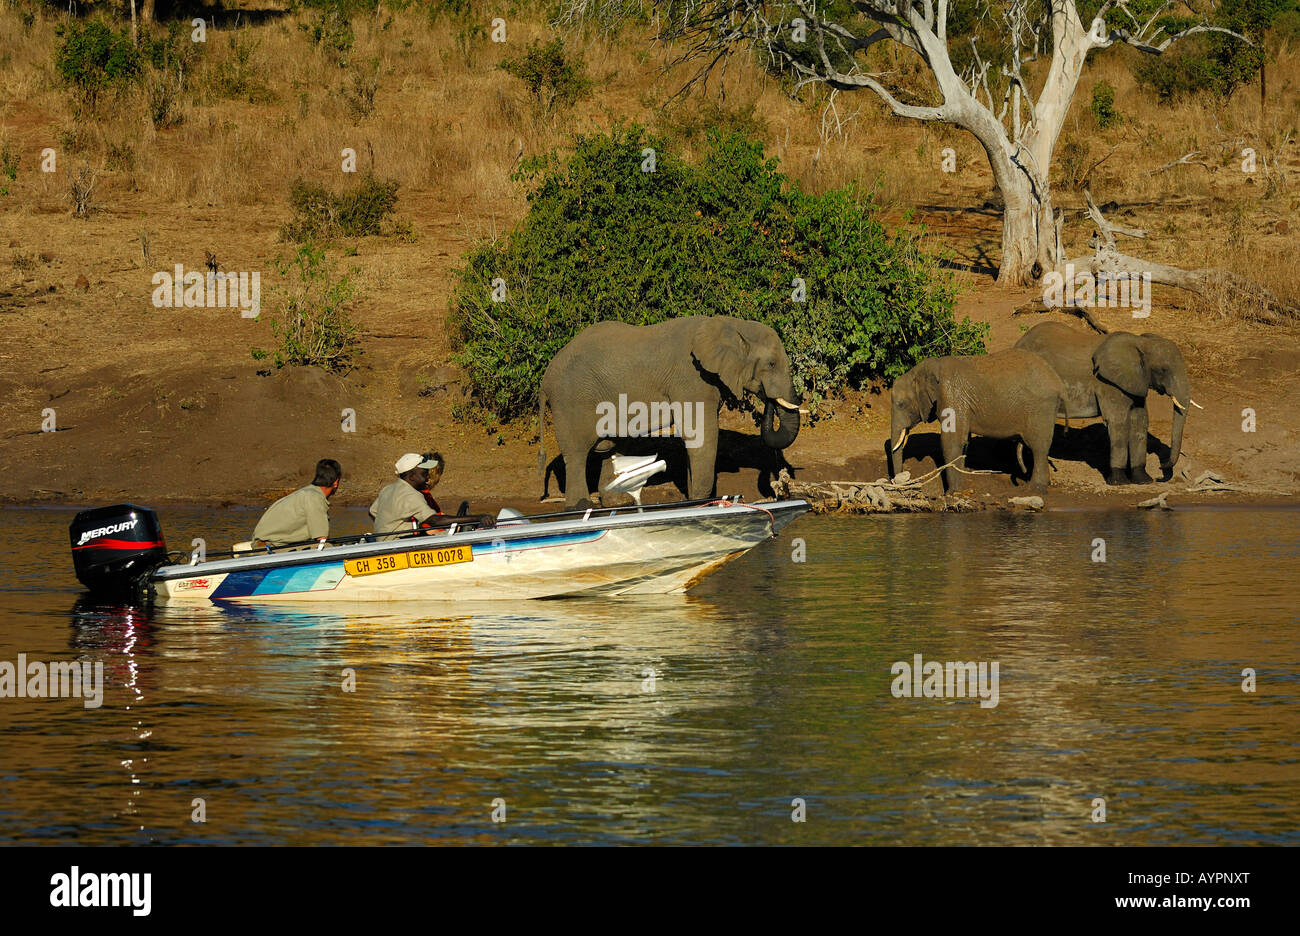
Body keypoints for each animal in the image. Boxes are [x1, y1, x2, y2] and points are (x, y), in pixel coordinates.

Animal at [538, 312, 800, 504]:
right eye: (771, 364)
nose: (768, 399)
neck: (731, 324)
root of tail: (544, 379)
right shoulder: (692, 378)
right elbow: (701, 436)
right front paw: (700, 501)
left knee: (612, 446)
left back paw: (617, 503)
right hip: (570, 398)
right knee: (577, 453)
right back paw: (580, 507)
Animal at [889, 343, 1071, 488]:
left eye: (901, 404)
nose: (902, 478)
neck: (924, 369)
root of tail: (1059, 383)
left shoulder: (950, 395)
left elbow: (951, 441)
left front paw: (952, 493)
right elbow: (963, 442)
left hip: (1041, 408)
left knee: (1038, 448)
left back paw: (1035, 489)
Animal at [1013, 322, 1196, 483]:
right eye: (1163, 370)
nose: (1160, 468)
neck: (1140, 342)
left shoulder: (1136, 382)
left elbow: (1140, 421)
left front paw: (1143, 480)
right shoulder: (1107, 383)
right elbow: (1118, 423)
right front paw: (1119, 482)